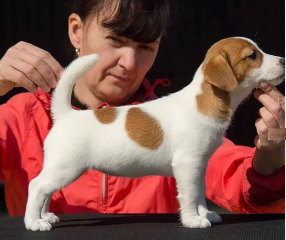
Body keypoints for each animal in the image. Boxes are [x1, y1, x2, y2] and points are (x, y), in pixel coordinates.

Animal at [23, 37, 284, 231]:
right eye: (252, 56)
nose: (283, 60)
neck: (204, 100)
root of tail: (65, 115)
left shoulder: (198, 166)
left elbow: (199, 193)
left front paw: (205, 214)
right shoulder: (187, 165)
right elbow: (189, 195)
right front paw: (193, 220)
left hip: (59, 169)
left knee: (45, 191)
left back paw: (45, 217)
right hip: (66, 168)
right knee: (37, 186)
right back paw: (34, 222)